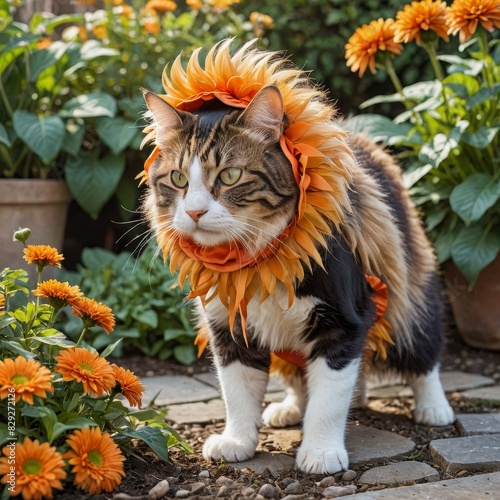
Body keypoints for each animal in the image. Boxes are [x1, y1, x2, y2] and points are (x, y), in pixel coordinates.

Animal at [142, 41, 458, 474]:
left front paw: (321, 451)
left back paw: (433, 407)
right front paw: (237, 440)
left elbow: (330, 398)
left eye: (229, 176)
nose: (193, 212)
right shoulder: (229, 322)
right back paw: (291, 407)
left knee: (423, 350)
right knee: (301, 374)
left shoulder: (345, 318)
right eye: (176, 179)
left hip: (406, 291)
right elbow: (236, 389)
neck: (257, 260)